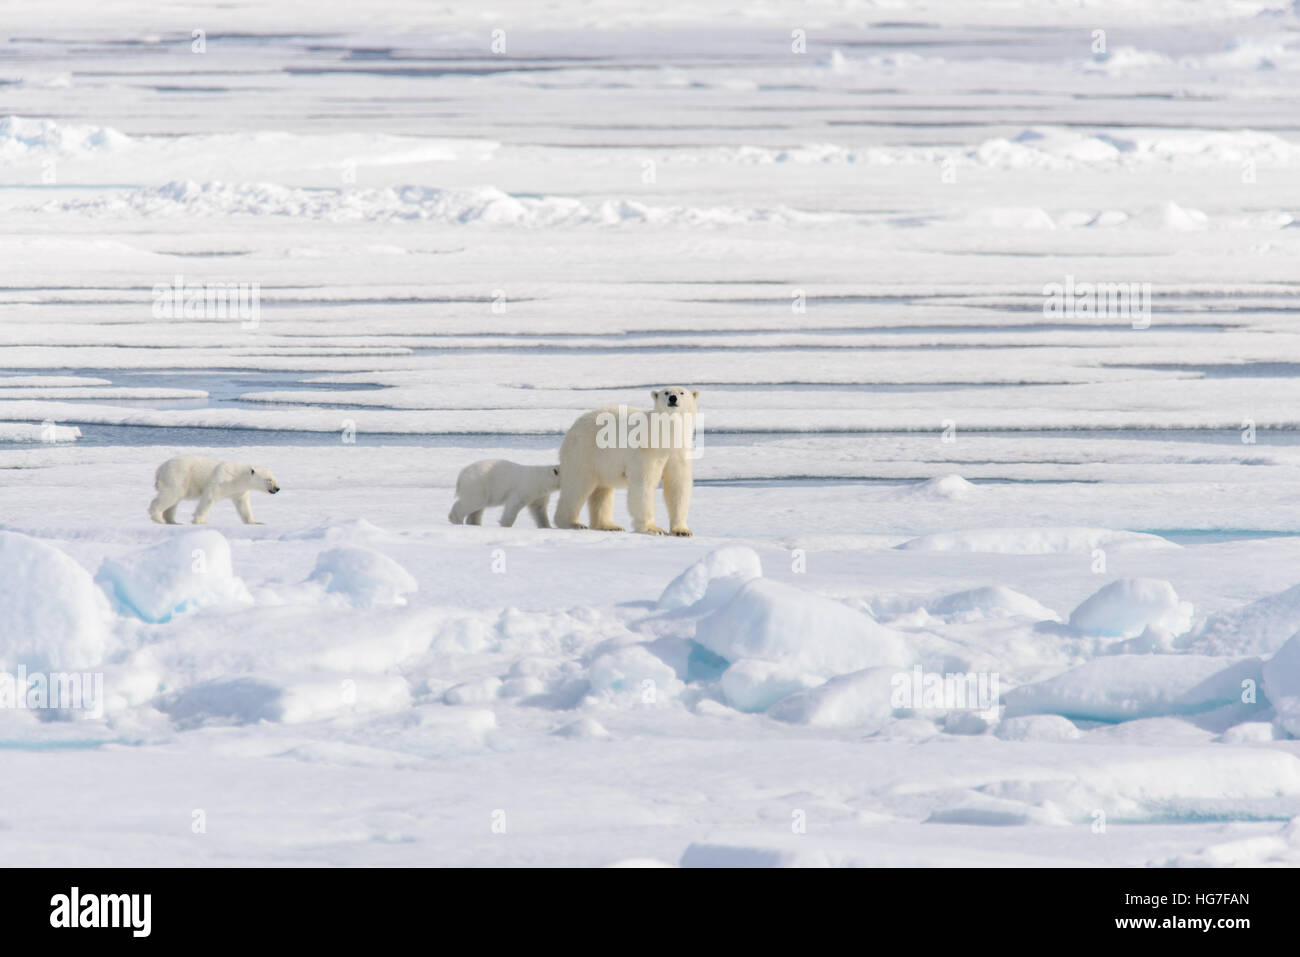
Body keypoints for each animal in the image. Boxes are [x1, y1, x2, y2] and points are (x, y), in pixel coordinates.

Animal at [148, 455, 280, 525]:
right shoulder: (221, 480)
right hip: (178, 476)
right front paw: (200, 521)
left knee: (174, 501)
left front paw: (255, 522)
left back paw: (173, 521)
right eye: (269, 480)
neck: (238, 477)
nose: (277, 488)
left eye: (274, 478)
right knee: (170, 495)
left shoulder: (239, 491)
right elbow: (209, 498)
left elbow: (243, 506)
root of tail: (159, 470)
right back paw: (158, 518)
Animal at [553, 387, 698, 536]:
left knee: (602, 491)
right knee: (577, 486)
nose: (673, 398)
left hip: (603, 462)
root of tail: (571, 429)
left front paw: (682, 531)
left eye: (682, 393)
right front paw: (653, 529)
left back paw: (609, 525)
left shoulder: (678, 453)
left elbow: (677, 485)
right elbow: (644, 485)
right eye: (666, 393)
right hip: (584, 452)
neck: (664, 438)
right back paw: (573, 523)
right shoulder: (647, 452)